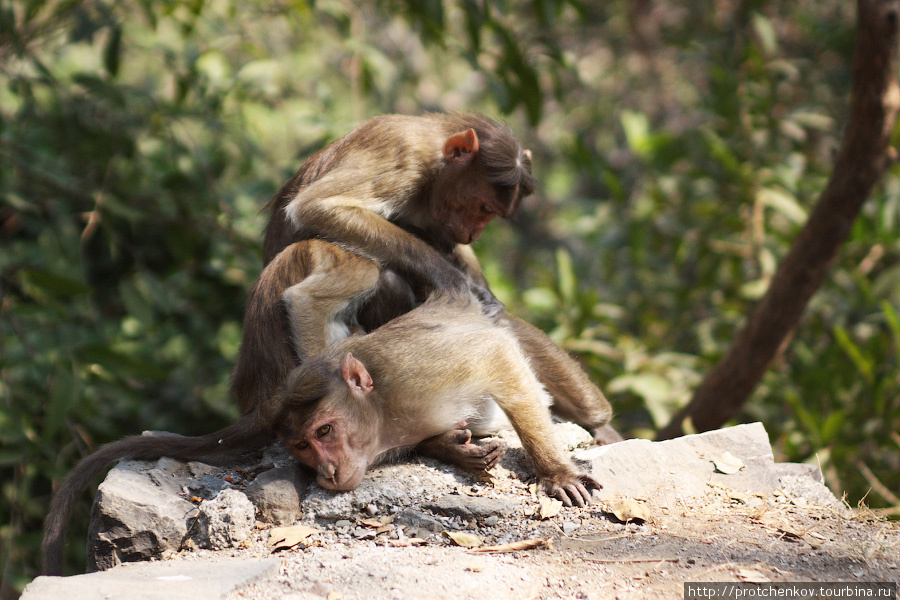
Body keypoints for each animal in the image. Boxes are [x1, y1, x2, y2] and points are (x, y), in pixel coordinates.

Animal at [45, 241, 600, 576]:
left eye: (326, 431)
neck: (386, 414)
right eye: (302, 446)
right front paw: (452, 448)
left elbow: (498, 358)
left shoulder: (416, 375)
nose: (328, 473)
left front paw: (553, 469)